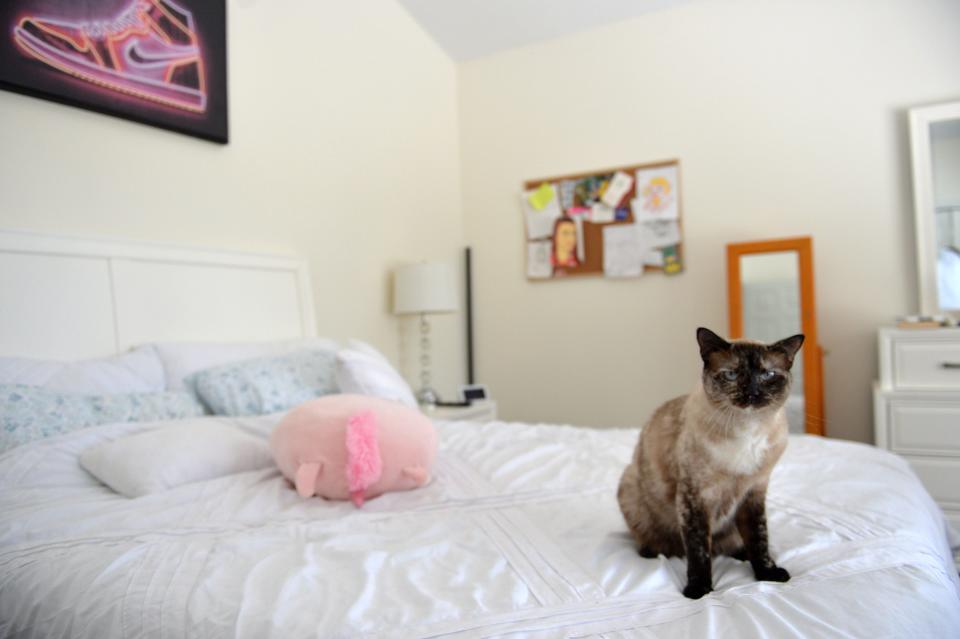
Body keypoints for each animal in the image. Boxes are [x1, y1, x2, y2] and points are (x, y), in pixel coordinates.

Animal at [616, 330, 804, 600]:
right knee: (668, 544)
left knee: (730, 543)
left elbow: (759, 539)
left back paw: (741, 554)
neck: (747, 430)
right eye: (732, 374)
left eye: (768, 375)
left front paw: (768, 573)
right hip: (629, 484)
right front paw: (699, 590)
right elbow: (699, 551)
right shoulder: (694, 497)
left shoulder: (753, 492)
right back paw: (654, 551)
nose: (752, 393)